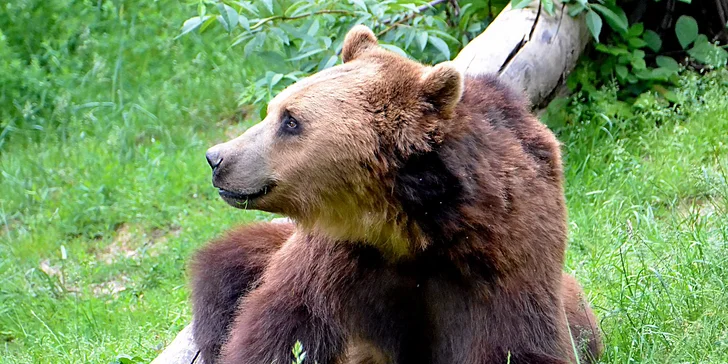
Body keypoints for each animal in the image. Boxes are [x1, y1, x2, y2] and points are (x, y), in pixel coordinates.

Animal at [189, 25, 604, 364]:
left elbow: (517, 344)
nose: (217, 157)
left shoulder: (504, 262)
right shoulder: (336, 260)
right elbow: (282, 328)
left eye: (291, 121)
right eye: (273, 108)